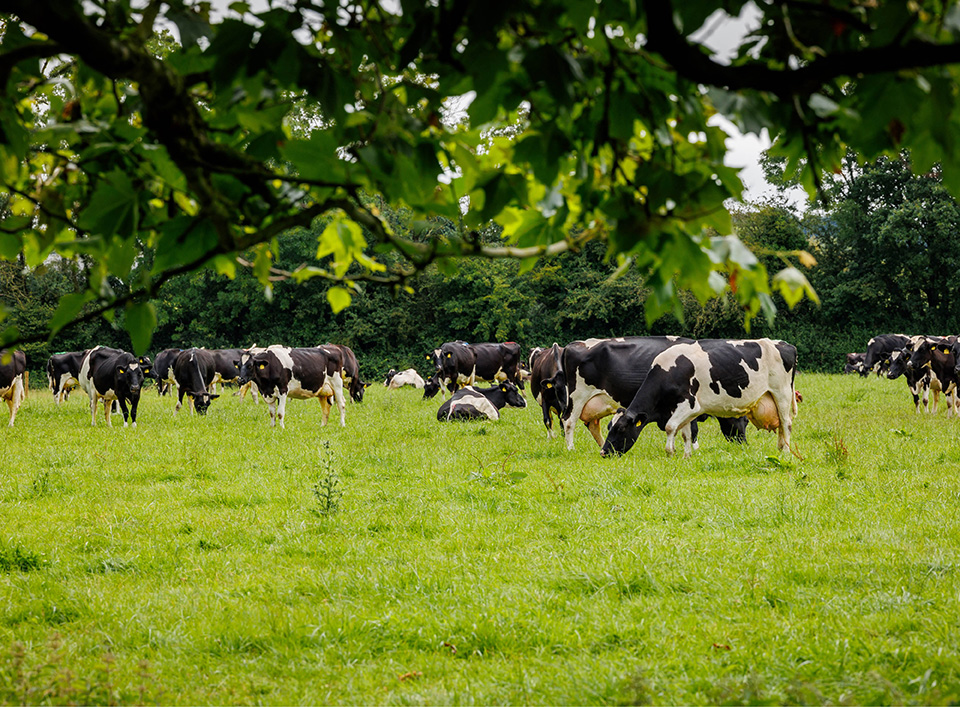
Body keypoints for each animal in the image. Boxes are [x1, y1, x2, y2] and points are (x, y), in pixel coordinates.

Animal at [601, 339, 798, 459]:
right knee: (781, 425)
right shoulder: (686, 410)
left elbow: (670, 427)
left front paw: (670, 452)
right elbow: (686, 433)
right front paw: (686, 456)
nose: (603, 452)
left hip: (782, 393)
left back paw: (787, 451)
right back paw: (780, 447)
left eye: (621, 428)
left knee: (786, 423)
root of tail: (785, 345)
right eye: (609, 426)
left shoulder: (689, 405)